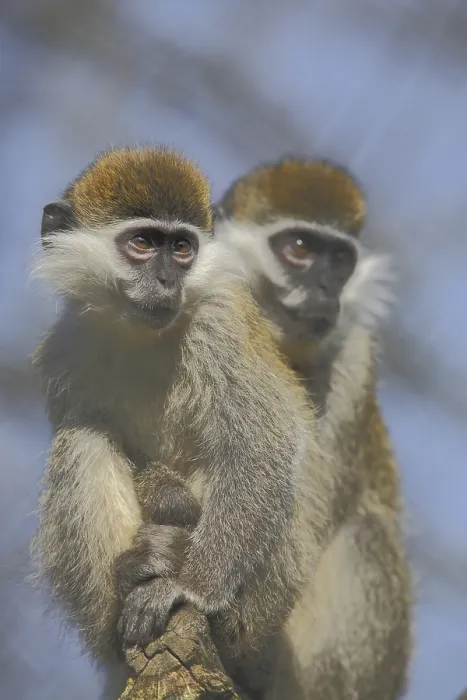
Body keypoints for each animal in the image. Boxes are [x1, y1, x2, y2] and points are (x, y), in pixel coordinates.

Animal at [30, 146, 336, 697]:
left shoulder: (221, 323)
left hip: (260, 607)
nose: (168, 280)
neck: (139, 332)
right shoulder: (65, 347)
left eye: (181, 249)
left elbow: (265, 446)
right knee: (82, 438)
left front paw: (190, 587)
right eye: (143, 244)